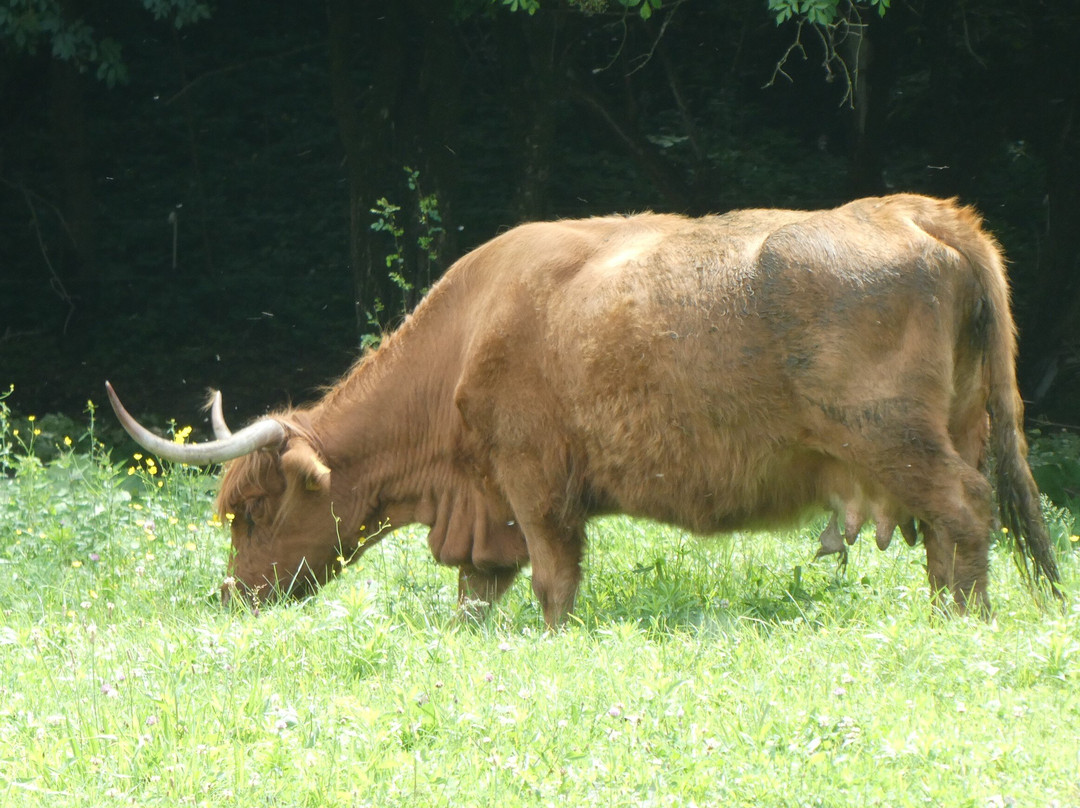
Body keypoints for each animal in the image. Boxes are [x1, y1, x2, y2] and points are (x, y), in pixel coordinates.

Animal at [105, 195, 1058, 626]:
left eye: (254, 510)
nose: (231, 596)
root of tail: (919, 212)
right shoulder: (488, 511)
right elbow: (476, 593)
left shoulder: (535, 487)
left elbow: (553, 583)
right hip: (954, 434)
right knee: (948, 535)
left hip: (900, 444)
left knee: (965, 513)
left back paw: (961, 624)